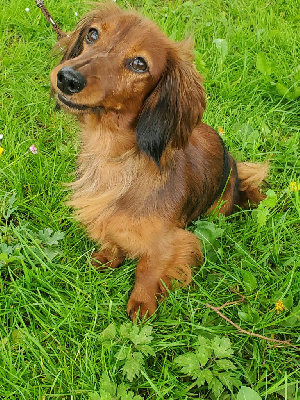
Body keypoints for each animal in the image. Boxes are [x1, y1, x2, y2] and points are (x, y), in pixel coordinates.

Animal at [50, 2, 268, 322]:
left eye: (139, 64)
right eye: (92, 34)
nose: (67, 78)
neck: (115, 159)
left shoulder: (170, 241)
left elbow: (148, 268)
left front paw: (142, 306)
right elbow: (113, 238)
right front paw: (108, 257)